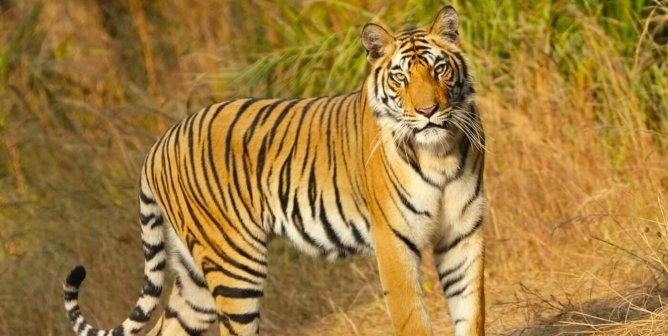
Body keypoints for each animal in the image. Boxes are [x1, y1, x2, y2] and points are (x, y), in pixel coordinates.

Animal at [62, 5, 486, 336]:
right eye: (400, 77)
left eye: (439, 69)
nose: (428, 111)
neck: (439, 153)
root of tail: (158, 144)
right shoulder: (394, 242)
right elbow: (413, 320)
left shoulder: (462, 234)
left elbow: (472, 313)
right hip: (235, 266)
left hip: (194, 281)